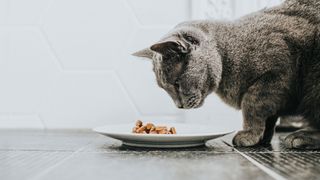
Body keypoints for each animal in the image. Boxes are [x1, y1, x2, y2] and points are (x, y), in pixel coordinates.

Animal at [132, 0, 320, 149]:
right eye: (164, 88)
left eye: (177, 83)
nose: (179, 106)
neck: (227, 56)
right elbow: (269, 116)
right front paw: (262, 138)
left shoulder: (277, 71)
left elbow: (251, 104)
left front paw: (248, 134)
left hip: (313, 83)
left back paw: (301, 137)